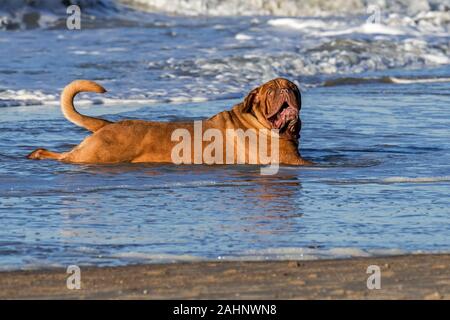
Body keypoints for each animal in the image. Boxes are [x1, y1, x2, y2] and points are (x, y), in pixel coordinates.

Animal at [26, 78, 312, 165]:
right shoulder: (290, 161)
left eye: (293, 88)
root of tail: (106, 124)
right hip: (96, 155)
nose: (285, 90)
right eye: (271, 92)